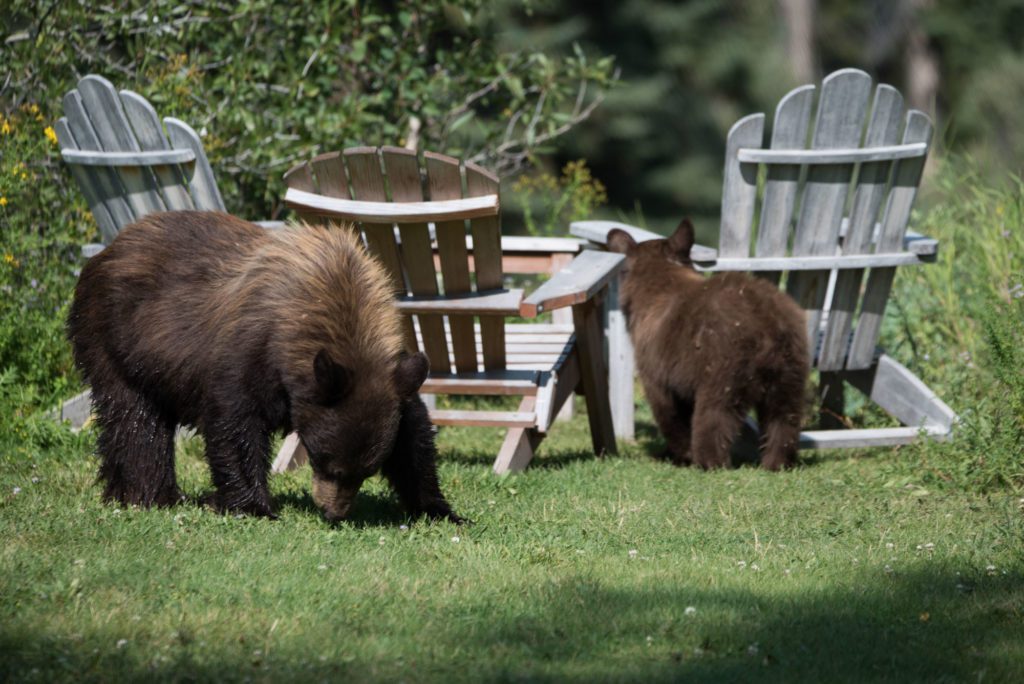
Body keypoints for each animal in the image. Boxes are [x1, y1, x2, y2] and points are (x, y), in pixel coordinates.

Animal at [67, 210, 462, 523]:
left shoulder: (389, 378)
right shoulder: (250, 351)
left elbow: (413, 437)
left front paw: (439, 509)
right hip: (113, 338)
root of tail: (108, 248)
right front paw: (253, 506)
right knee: (134, 419)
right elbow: (235, 420)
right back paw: (150, 494)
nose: (333, 513)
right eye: (325, 461)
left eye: (367, 471)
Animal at [607, 219, 809, 470]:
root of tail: (769, 323)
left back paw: (709, 461)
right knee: (783, 416)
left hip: (724, 368)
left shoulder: (656, 366)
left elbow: (667, 409)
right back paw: (777, 462)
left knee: (714, 414)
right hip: (790, 368)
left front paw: (680, 453)